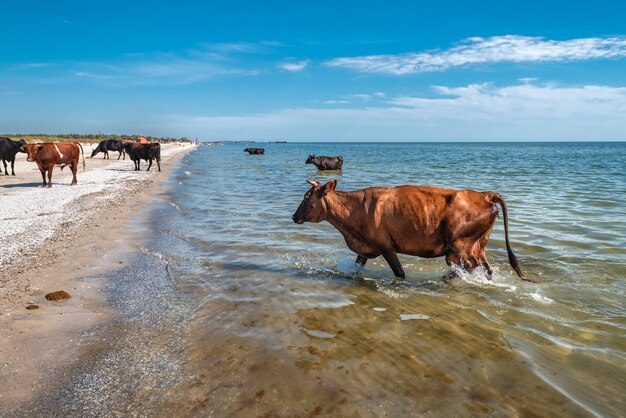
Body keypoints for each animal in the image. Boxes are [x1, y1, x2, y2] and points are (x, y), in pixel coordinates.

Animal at [292, 180, 532, 282]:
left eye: (306, 197)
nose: (294, 217)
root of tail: (485, 194)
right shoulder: (366, 247)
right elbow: (356, 267)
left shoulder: (386, 246)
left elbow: (399, 273)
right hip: (476, 245)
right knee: (484, 268)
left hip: (460, 243)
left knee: (472, 267)